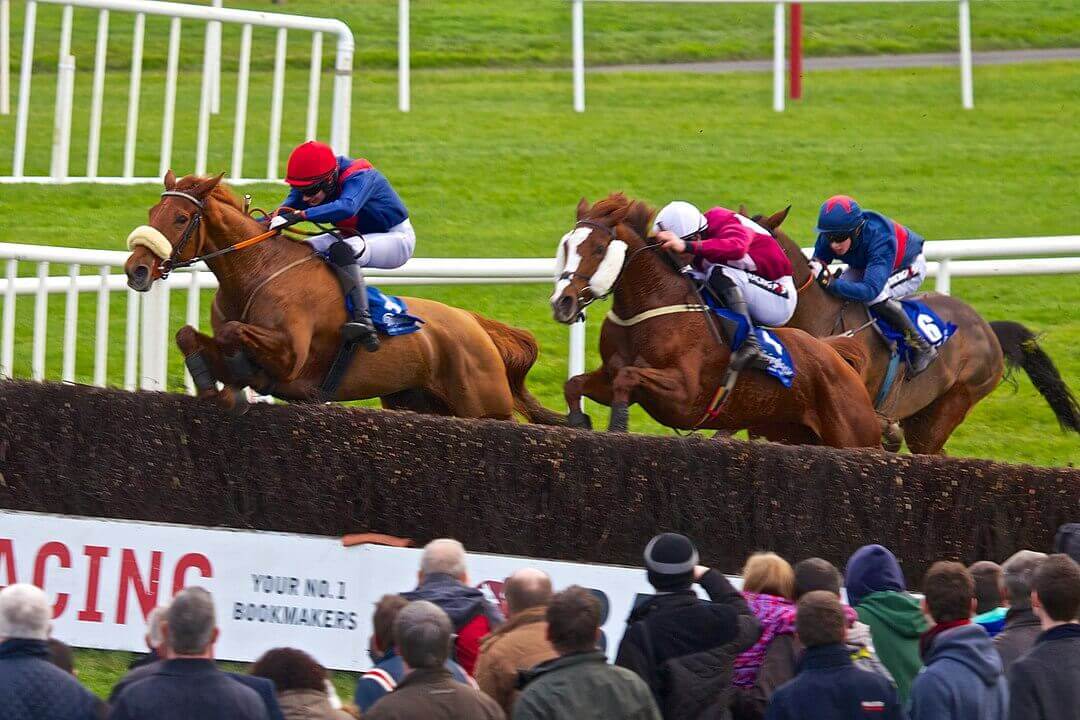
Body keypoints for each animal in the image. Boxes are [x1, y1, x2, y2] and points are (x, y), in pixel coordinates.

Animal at [122, 172, 565, 425]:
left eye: (181, 218)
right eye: (151, 212)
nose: (136, 270)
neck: (256, 270)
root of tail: (476, 324)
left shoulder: (290, 358)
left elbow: (234, 332)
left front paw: (231, 384)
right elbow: (187, 334)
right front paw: (212, 385)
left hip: (486, 406)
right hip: (413, 401)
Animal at [548, 194, 885, 446]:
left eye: (598, 248)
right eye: (565, 245)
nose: (562, 303)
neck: (649, 305)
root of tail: (837, 355)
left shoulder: (685, 396)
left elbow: (627, 377)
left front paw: (618, 423)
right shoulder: (609, 375)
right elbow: (574, 384)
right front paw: (578, 421)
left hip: (854, 434)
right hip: (792, 432)